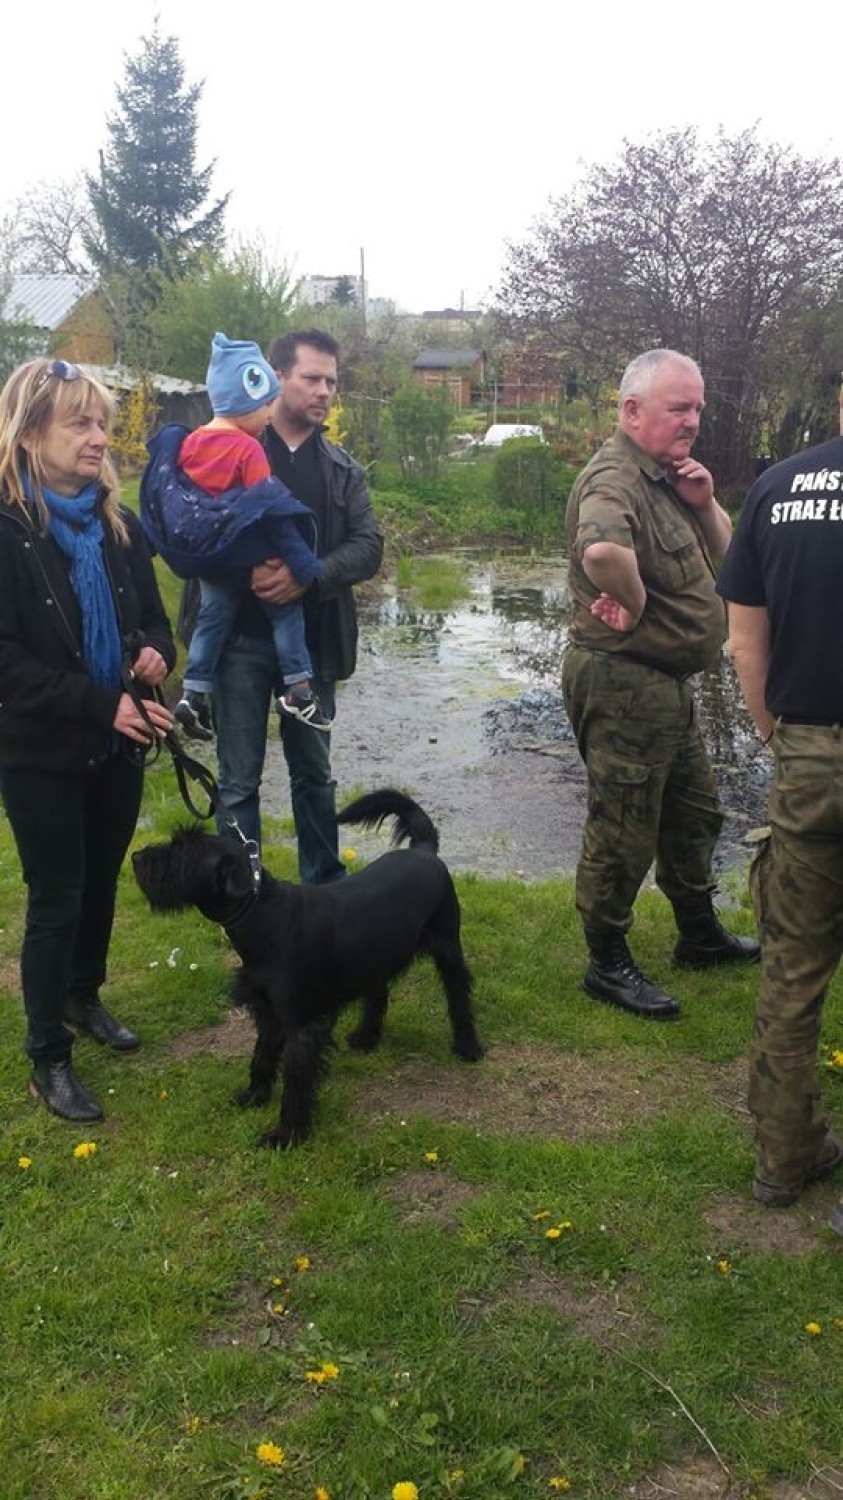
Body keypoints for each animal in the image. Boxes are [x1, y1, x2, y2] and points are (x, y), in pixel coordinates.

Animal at [134, 786, 483, 1146]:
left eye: (183, 852)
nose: (136, 858)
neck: (262, 915)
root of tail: (424, 851)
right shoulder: (270, 1013)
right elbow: (261, 1056)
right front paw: (254, 1096)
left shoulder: (300, 1026)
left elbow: (296, 1083)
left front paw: (286, 1135)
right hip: (373, 955)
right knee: (377, 992)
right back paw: (365, 1037)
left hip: (448, 948)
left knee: (459, 994)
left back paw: (468, 1046)